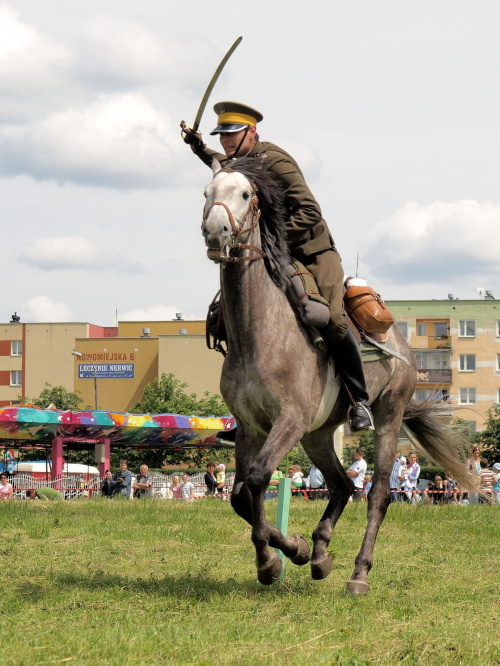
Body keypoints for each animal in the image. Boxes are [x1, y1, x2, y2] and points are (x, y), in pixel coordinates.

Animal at [202, 158, 472, 592]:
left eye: (245, 194)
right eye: (207, 193)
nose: (215, 231)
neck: (258, 332)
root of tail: (401, 342)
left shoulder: (289, 419)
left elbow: (258, 479)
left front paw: (273, 560)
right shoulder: (250, 428)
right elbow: (240, 495)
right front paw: (289, 551)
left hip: (386, 419)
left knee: (377, 495)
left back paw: (359, 573)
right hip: (316, 436)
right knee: (343, 484)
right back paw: (319, 553)